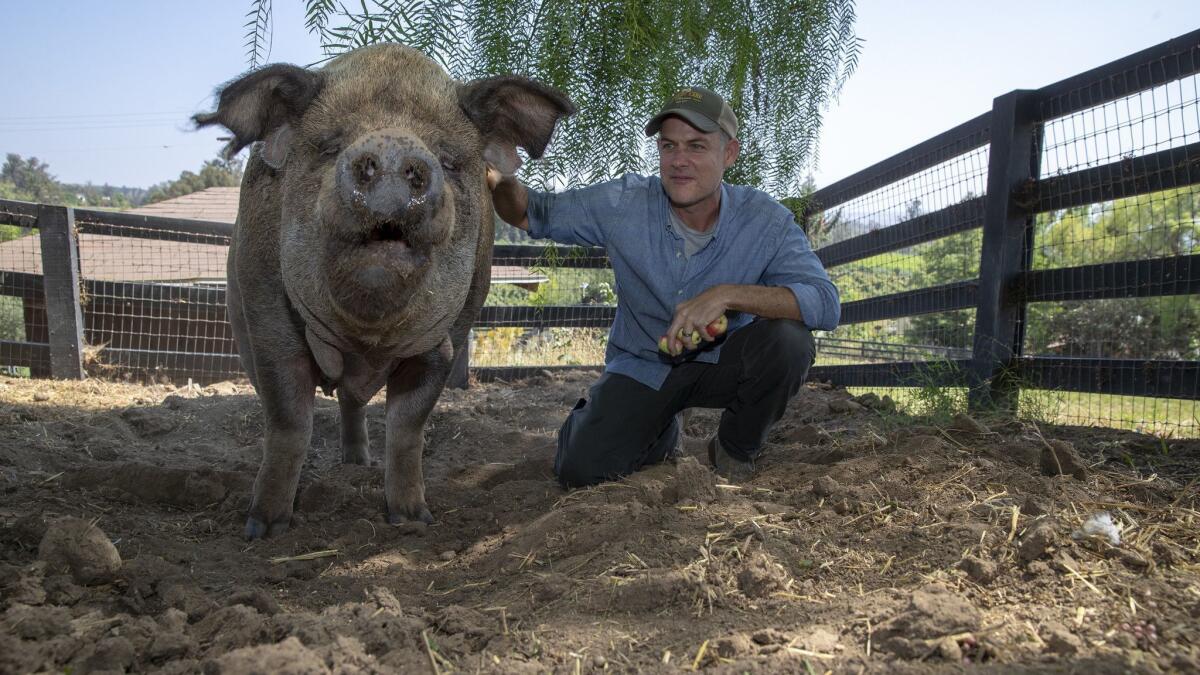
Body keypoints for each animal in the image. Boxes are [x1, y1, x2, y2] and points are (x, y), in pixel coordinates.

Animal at [193, 43, 576, 535]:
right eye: (329, 146)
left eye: (449, 159)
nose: (394, 146)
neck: (368, 342)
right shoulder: (269, 326)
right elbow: (289, 421)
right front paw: (264, 529)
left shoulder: (443, 343)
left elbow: (408, 428)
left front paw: (414, 521)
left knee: (352, 403)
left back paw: (359, 464)